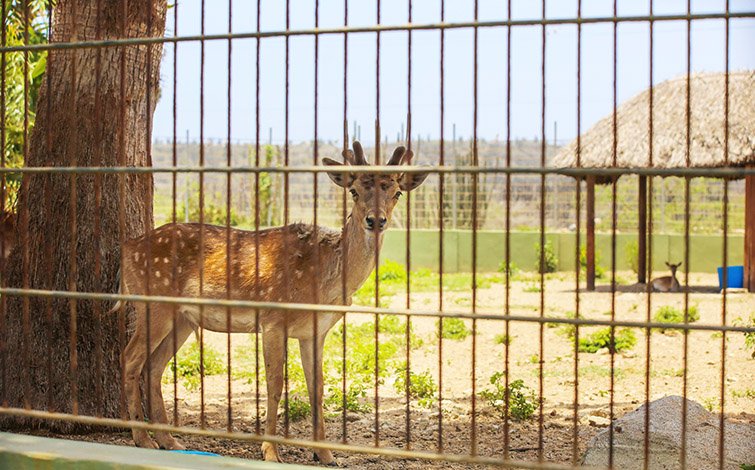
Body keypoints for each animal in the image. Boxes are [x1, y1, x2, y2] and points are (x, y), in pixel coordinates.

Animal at [112, 141, 428, 465]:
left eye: (397, 193)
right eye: (353, 190)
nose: (376, 220)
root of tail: (127, 248)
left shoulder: (315, 332)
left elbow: (317, 387)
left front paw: (325, 454)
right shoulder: (273, 319)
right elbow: (275, 383)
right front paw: (271, 451)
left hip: (184, 318)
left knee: (154, 366)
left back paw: (169, 440)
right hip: (154, 304)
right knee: (131, 358)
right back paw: (143, 439)